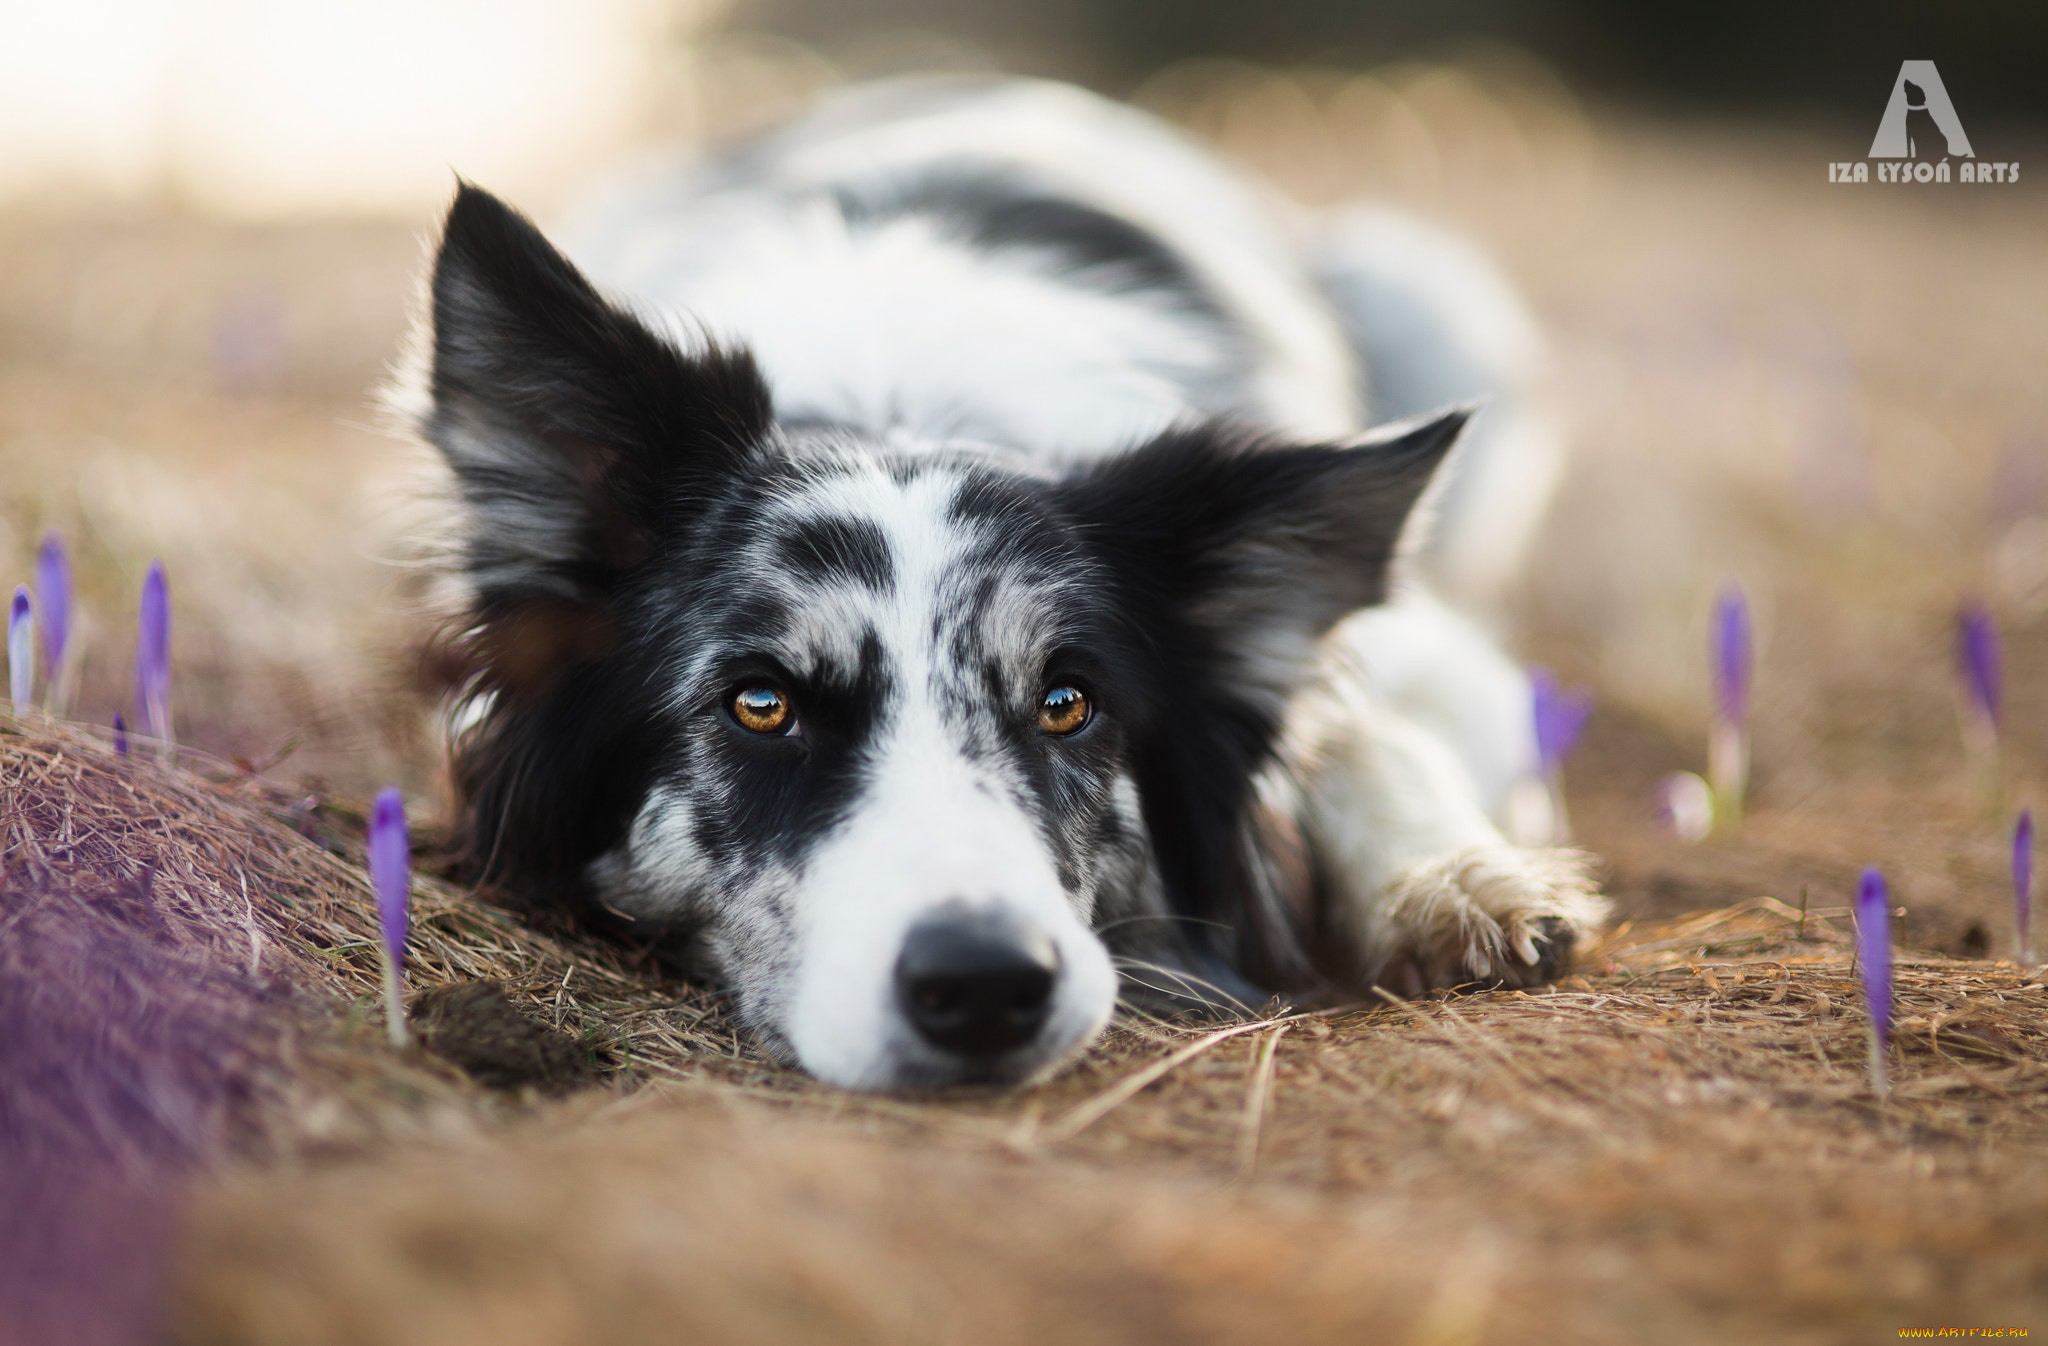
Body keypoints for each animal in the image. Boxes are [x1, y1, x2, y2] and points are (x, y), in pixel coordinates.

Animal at [407, 73, 1605, 1089]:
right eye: (760, 703)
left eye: (1067, 702)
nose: (984, 986)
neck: (899, 400)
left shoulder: (1441, 663)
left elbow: (1370, 733)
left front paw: (1456, 881)